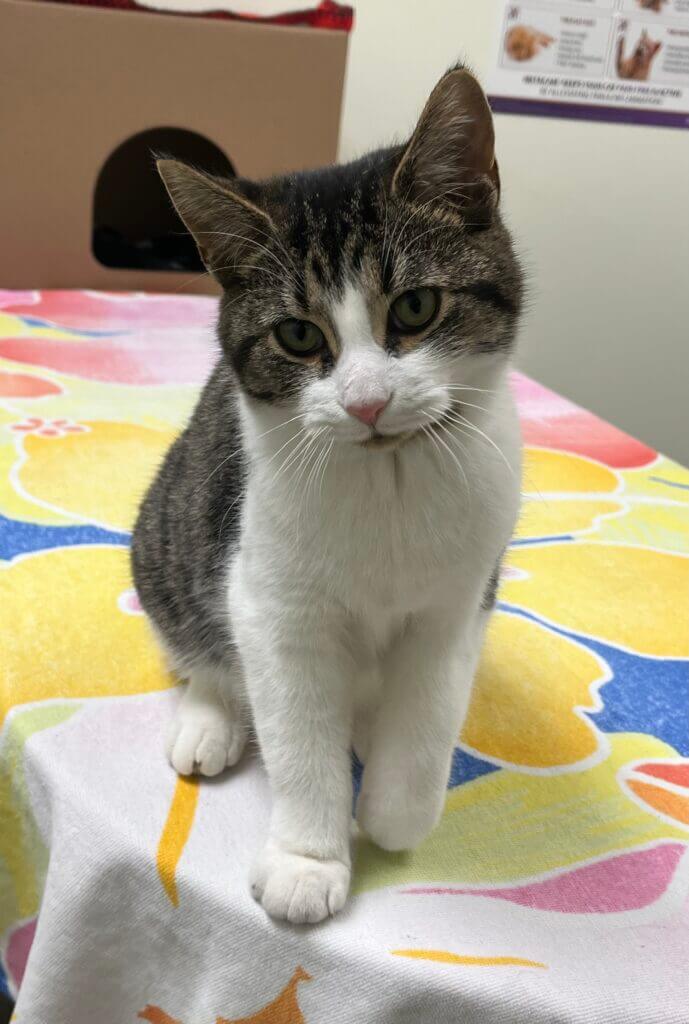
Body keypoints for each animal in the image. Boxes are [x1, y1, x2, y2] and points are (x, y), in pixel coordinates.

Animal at [132, 66, 522, 929]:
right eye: (298, 335)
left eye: (415, 307)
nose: (367, 402)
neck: (390, 481)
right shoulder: (275, 605)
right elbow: (298, 730)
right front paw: (306, 860)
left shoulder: (457, 599)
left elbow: (429, 710)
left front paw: (394, 812)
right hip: (171, 532)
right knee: (197, 640)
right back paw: (210, 718)